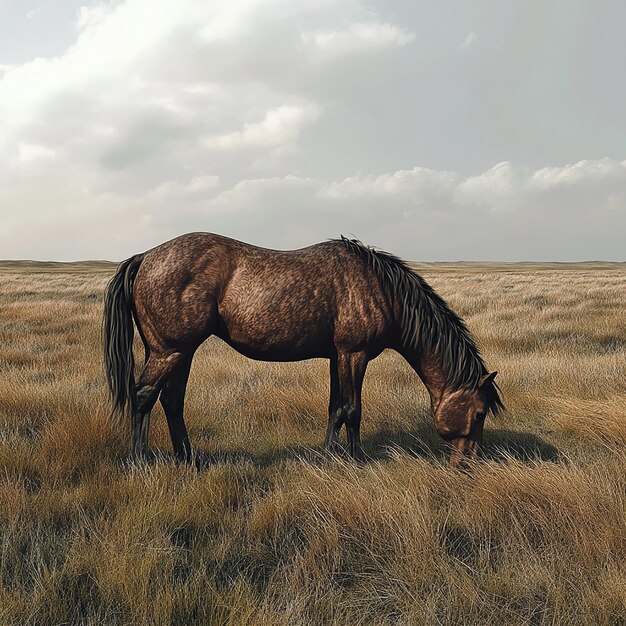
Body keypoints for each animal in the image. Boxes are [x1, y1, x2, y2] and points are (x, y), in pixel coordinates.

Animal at [103, 232, 502, 466]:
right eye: (480, 413)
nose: (470, 463)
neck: (383, 290)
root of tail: (144, 257)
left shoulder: (338, 357)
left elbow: (335, 408)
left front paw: (329, 456)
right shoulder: (354, 355)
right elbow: (353, 410)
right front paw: (357, 460)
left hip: (180, 352)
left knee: (171, 400)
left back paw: (187, 459)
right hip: (168, 350)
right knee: (143, 395)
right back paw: (139, 460)